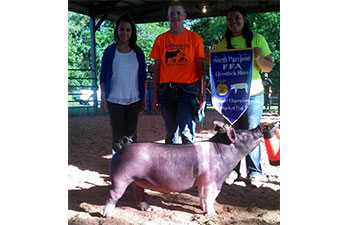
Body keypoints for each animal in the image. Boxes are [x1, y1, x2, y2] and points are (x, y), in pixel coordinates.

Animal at [103, 121, 262, 218]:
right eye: (245, 135)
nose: (259, 127)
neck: (221, 151)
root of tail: (125, 146)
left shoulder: (203, 182)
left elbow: (202, 197)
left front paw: (204, 210)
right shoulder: (212, 181)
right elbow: (211, 197)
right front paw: (213, 215)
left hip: (137, 180)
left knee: (137, 192)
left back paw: (149, 209)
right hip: (121, 178)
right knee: (112, 194)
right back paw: (107, 215)